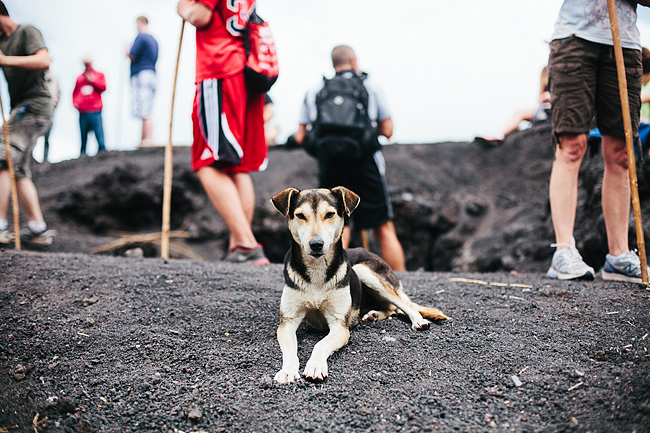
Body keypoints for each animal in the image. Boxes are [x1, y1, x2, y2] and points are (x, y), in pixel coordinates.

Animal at [268, 185, 446, 382]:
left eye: (330, 214)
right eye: (300, 215)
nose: (316, 244)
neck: (317, 270)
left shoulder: (340, 324)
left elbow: (321, 344)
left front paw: (315, 366)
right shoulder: (288, 321)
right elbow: (290, 350)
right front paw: (287, 371)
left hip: (364, 270)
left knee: (403, 305)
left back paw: (418, 320)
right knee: (392, 308)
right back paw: (374, 314)